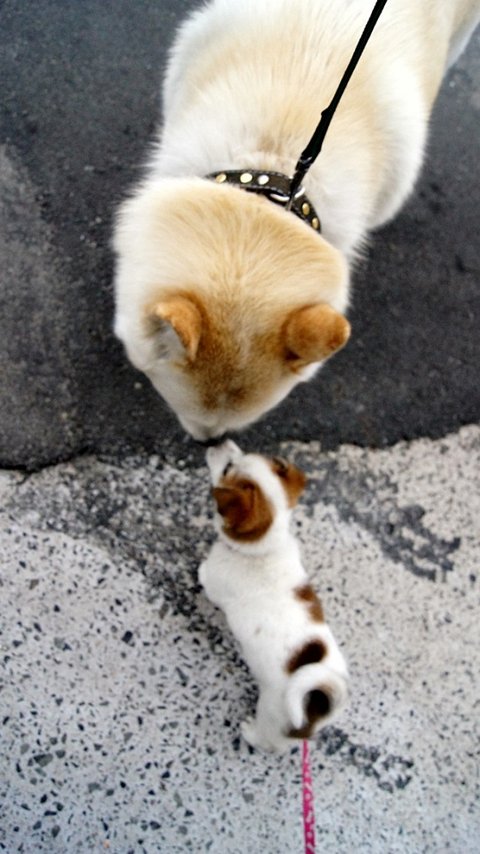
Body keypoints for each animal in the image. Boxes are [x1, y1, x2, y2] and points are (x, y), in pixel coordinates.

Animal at [198, 440, 349, 752]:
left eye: (228, 469)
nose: (219, 441)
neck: (264, 548)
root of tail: (317, 708)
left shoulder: (215, 580)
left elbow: (205, 577)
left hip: (273, 714)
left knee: (271, 743)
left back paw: (250, 733)